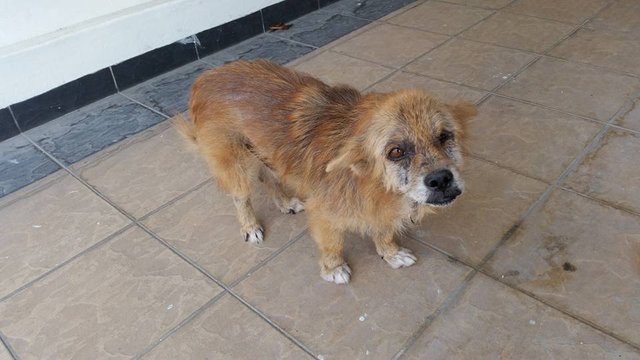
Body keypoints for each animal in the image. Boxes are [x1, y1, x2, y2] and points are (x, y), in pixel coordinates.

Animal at [175, 59, 476, 284]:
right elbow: (333, 243)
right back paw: (249, 225)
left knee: (270, 178)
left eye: (444, 136)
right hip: (236, 164)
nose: (441, 179)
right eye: (396, 152)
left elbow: (383, 230)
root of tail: (206, 76)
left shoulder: (377, 208)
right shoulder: (324, 213)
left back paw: (285, 201)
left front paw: (390, 252)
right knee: (241, 196)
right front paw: (333, 268)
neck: (369, 181)